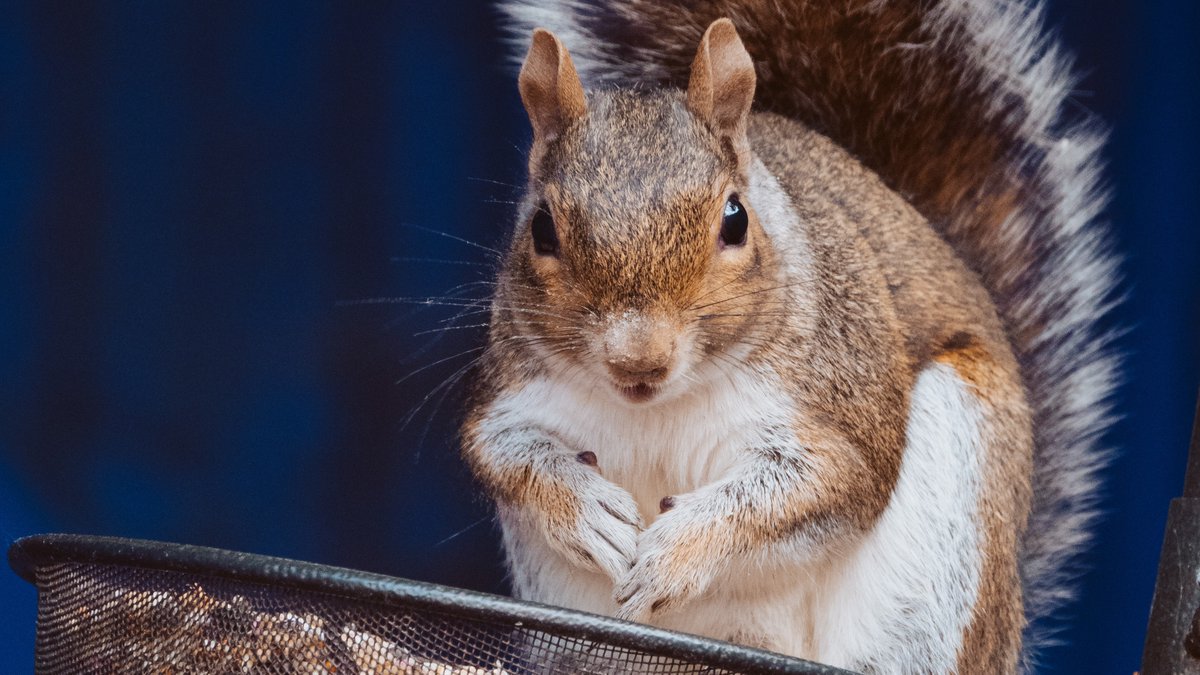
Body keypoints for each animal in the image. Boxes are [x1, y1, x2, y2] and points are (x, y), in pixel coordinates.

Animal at [460, 1, 1117, 672]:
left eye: (735, 219)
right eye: (541, 228)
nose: (638, 361)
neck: (659, 406)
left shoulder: (837, 409)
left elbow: (810, 489)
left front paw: (679, 552)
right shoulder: (514, 396)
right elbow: (502, 454)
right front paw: (585, 510)